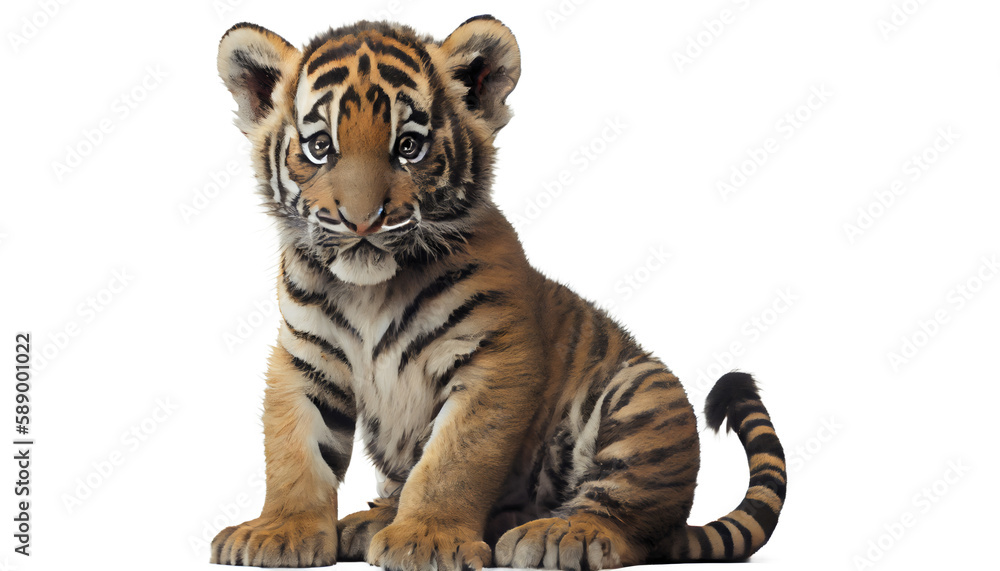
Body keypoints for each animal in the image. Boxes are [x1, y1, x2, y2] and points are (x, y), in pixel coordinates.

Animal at [210, 15, 786, 570]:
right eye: (320, 147)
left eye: (409, 147)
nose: (362, 221)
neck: (372, 291)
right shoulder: (303, 359)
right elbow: (295, 456)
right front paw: (278, 533)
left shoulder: (492, 362)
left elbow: (452, 461)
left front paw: (426, 541)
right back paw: (374, 520)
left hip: (642, 396)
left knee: (624, 521)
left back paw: (558, 534)